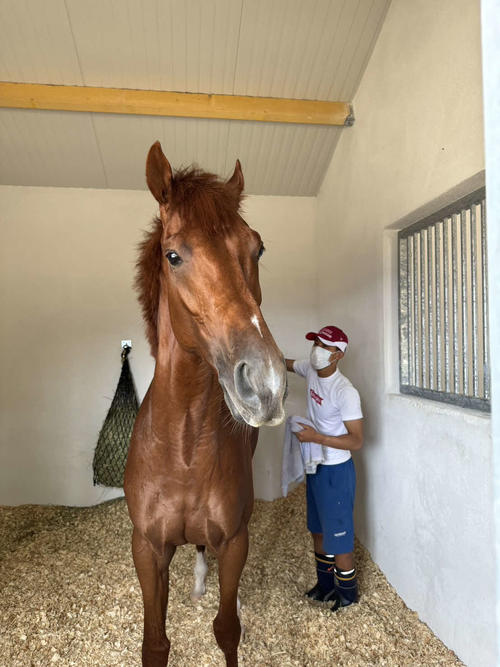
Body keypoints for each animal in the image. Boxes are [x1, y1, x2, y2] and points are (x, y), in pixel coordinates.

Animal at [124, 141, 288, 667]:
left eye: (257, 247)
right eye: (173, 255)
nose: (265, 381)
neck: (183, 450)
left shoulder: (236, 543)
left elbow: (227, 629)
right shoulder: (147, 549)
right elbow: (155, 643)